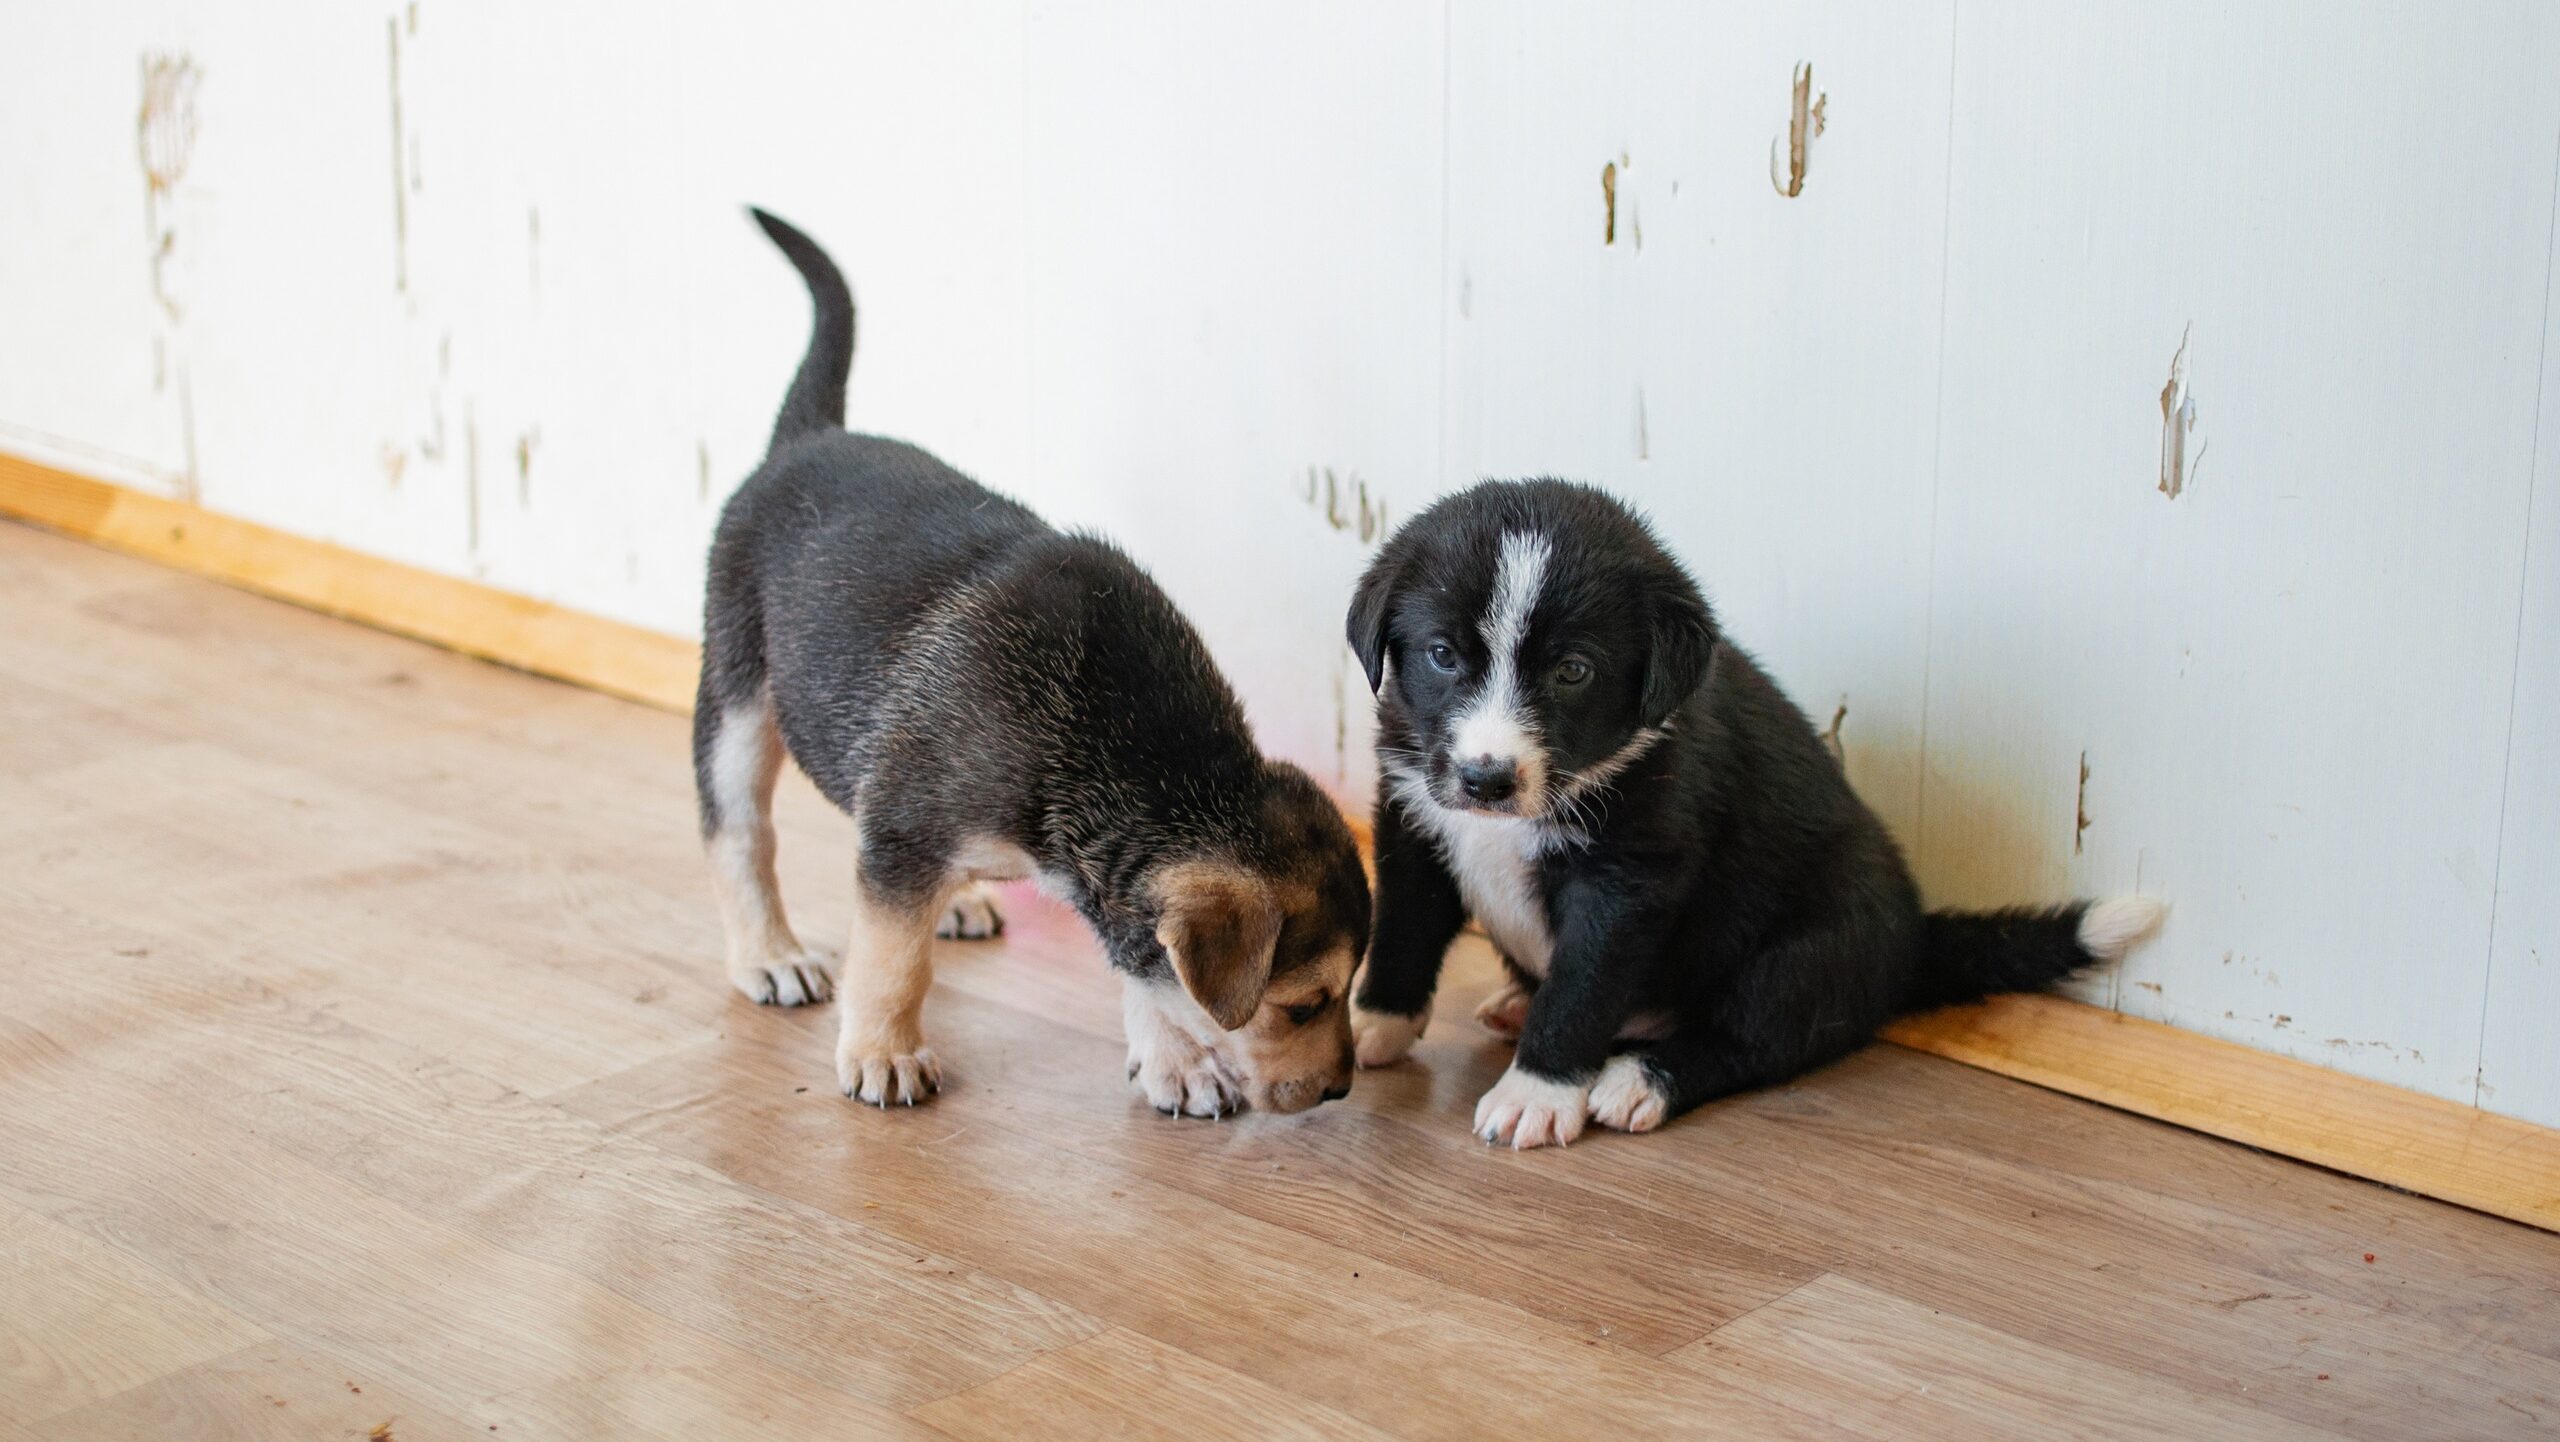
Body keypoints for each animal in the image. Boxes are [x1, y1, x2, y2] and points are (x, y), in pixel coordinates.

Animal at [701, 211, 1372, 1116]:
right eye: (1303, 1004)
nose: (1341, 1090)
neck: (1131, 756)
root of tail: (808, 438)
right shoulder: (905, 834)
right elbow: (891, 961)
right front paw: (883, 1052)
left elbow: (1149, 972)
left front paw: (1174, 1062)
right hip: (737, 694)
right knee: (740, 832)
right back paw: (769, 955)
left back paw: (959, 902)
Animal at [1351, 481, 2170, 1152]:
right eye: (1442, 655)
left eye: (1573, 671)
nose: (1487, 779)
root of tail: (1910, 942)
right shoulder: (1414, 824)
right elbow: (1402, 932)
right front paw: (1369, 1024)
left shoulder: (1627, 879)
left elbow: (1583, 984)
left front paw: (1537, 1091)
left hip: (1806, 949)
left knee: (1754, 1038)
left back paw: (1639, 1078)